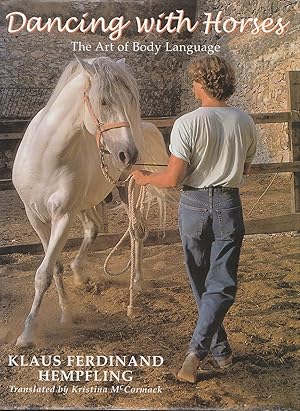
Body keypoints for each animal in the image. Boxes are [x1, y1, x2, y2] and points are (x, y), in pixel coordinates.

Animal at [12, 56, 176, 350]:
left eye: (130, 99)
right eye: (103, 102)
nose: (128, 154)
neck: (46, 157)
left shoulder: (64, 217)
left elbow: (43, 274)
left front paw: (27, 334)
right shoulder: (37, 218)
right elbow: (54, 267)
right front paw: (65, 314)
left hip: (125, 191)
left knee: (137, 230)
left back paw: (137, 282)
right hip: (88, 203)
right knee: (93, 229)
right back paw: (82, 275)